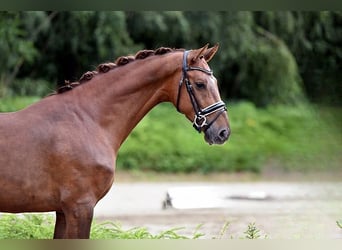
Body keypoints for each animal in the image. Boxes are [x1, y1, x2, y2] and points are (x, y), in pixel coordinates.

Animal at [0, 44, 230, 239]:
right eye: (200, 84)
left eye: (216, 83)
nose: (223, 132)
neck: (86, 120)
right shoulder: (80, 208)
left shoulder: (63, 211)